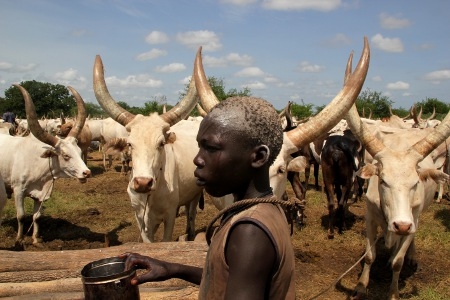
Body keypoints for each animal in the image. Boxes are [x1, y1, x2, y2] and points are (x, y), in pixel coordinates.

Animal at [0, 84, 91, 244]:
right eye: (65, 155)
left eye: (79, 151)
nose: (86, 172)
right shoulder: (18, 190)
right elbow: (21, 216)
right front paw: (19, 239)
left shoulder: (40, 195)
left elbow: (36, 217)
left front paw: (36, 239)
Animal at [93, 54, 202, 243]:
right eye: (130, 144)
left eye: (161, 143)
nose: (143, 183)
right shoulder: (140, 217)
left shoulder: (169, 215)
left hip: (196, 194)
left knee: (192, 213)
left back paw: (190, 233)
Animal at [342, 52, 450, 298]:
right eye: (383, 181)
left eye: (415, 183)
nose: (401, 225)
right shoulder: (370, 218)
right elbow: (369, 256)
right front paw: (361, 286)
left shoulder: (413, 219)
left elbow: (398, 263)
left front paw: (393, 292)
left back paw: (410, 255)